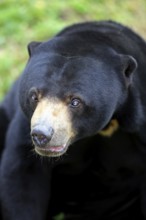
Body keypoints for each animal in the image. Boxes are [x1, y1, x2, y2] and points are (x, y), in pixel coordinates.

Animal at [0, 21, 146, 220]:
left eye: (75, 101)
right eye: (34, 96)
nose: (41, 135)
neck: (107, 126)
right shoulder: (25, 123)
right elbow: (21, 175)